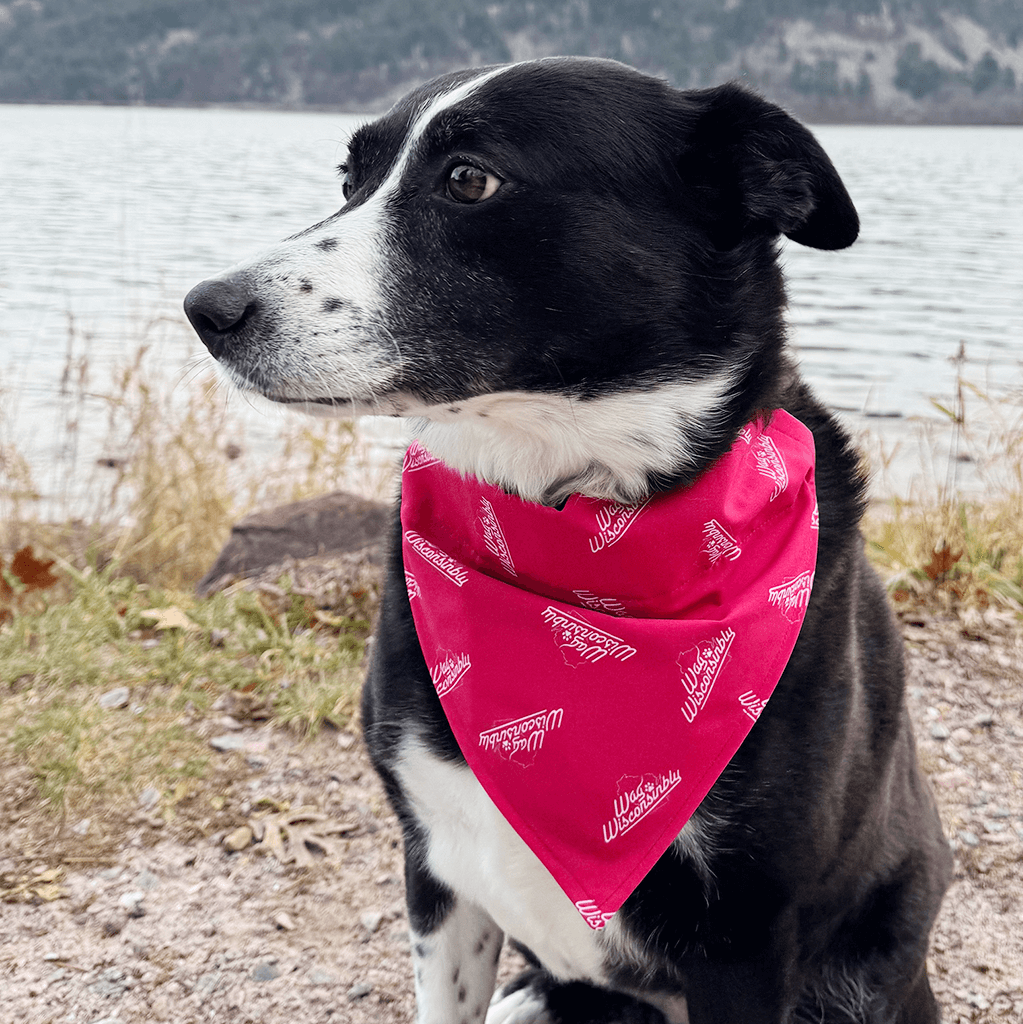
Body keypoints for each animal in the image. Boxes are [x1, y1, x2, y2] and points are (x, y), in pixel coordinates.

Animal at [184, 58, 950, 1024]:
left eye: (468, 178)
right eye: (351, 179)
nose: (206, 309)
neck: (575, 530)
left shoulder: (745, 934)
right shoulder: (436, 863)